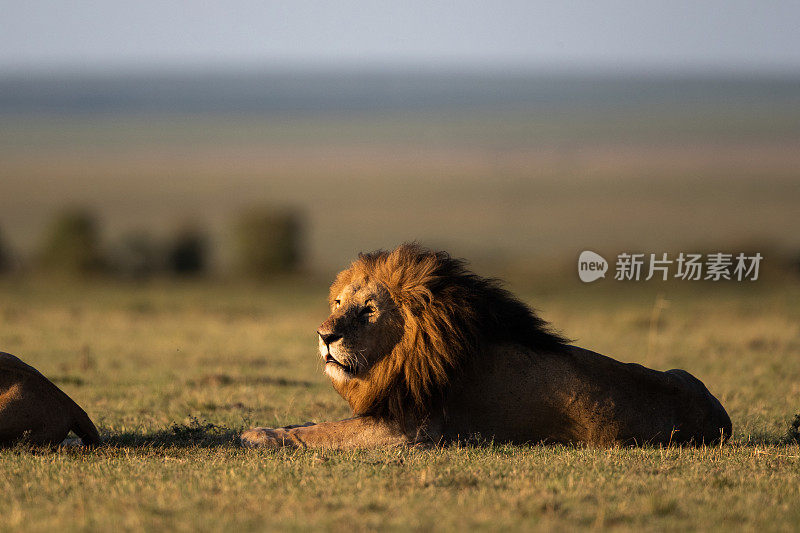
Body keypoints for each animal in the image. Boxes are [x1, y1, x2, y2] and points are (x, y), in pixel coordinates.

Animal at [241, 243, 736, 446]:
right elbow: (310, 422)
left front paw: (253, 435)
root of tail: (723, 417)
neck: (401, 356)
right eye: (339, 303)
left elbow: (319, 431)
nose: (325, 335)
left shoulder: (407, 430)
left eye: (368, 310)